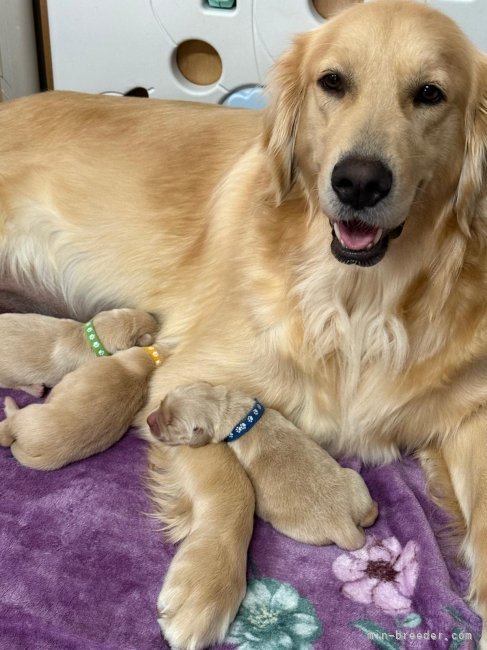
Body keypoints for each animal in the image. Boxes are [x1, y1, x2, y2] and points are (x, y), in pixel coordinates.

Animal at [0, 342, 166, 468]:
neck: (148, 365)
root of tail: (54, 456)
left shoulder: (67, 380)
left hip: (25, 416)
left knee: (6, 435)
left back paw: (9, 402)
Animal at [147, 382, 380, 548]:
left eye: (170, 423)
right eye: (162, 402)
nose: (149, 420)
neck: (236, 413)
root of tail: (344, 525)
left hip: (289, 524)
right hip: (354, 478)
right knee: (368, 514)